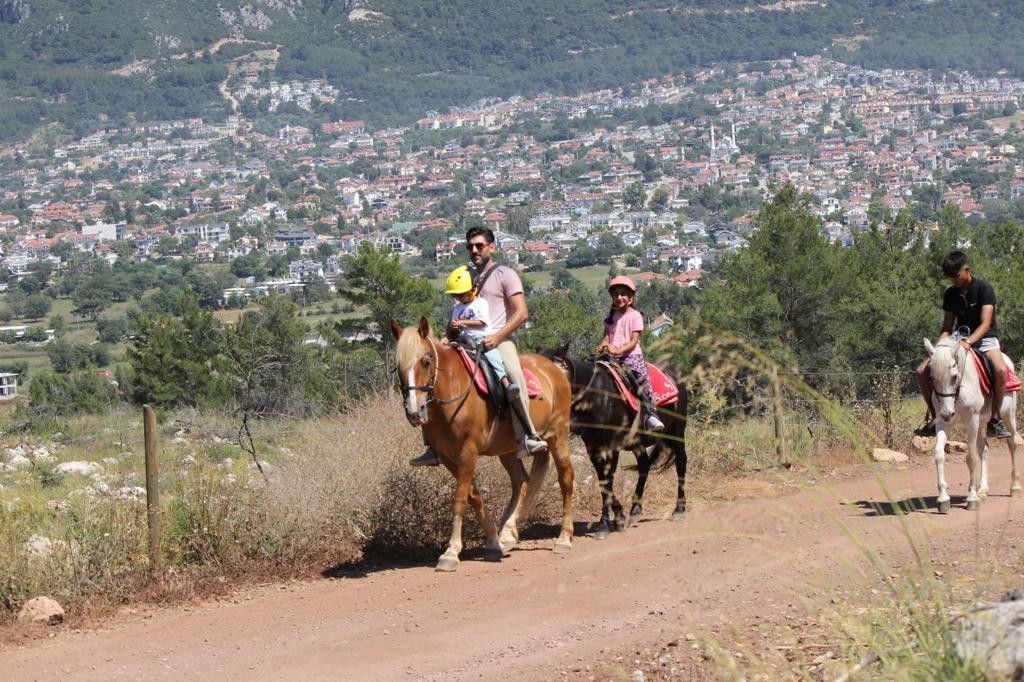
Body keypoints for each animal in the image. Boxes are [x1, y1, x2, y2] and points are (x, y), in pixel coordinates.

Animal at [389, 317, 573, 569]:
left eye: (426, 362)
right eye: (398, 366)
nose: (415, 411)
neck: (453, 388)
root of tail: (554, 369)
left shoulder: (468, 450)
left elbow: (459, 499)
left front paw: (451, 552)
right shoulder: (448, 456)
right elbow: (473, 496)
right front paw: (493, 543)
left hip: (558, 435)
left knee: (565, 479)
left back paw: (564, 538)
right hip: (508, 450)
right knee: (522, 482)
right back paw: (507, 535)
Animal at [925, 335, 1019, 509]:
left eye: (954, 376)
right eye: (931, 378)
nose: (948, 413)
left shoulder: (972, 421)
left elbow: (971, 458)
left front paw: (972, 498)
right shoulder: (943, 423)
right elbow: (939, 454)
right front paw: (943, 498)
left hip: (1009, 416)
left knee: (1012, 444)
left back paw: (1015, 487)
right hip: (982, 423)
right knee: (984, 449)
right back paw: (983, 490)